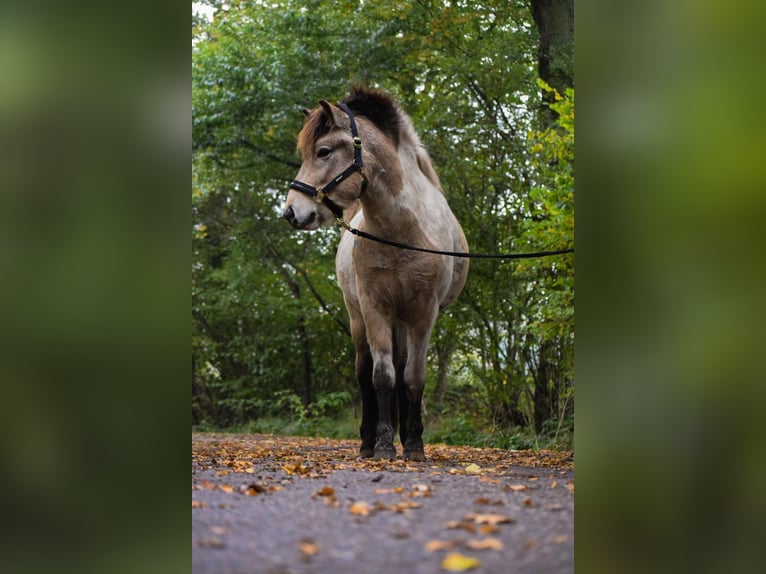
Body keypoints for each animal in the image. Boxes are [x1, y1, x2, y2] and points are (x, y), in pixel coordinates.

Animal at [284, 86, 472, 464]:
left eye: (323, 151)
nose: (292, 212)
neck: (402, 231)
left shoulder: (422, 313)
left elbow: (413, 377)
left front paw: (413, 444)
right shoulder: (374, 309)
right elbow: (382, 376)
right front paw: (385, 444)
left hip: (401, 321)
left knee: (402, 369)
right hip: (359, 319)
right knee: (365, 374)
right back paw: (368, 441)